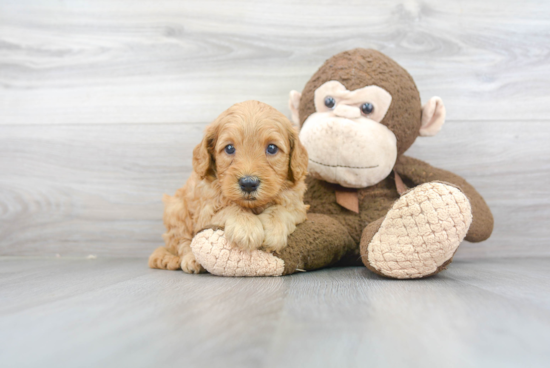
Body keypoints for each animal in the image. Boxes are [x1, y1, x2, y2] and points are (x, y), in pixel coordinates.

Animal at [149, 100, 310, 274]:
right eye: (229, 148)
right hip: (176, 210)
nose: (248, 183)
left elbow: (281, 209)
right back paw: (191, 259)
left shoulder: (297, 205)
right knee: (181, 242)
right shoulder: (205, 212)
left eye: (272, 148)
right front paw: (246, 228)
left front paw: (273, 229)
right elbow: (230, 208)